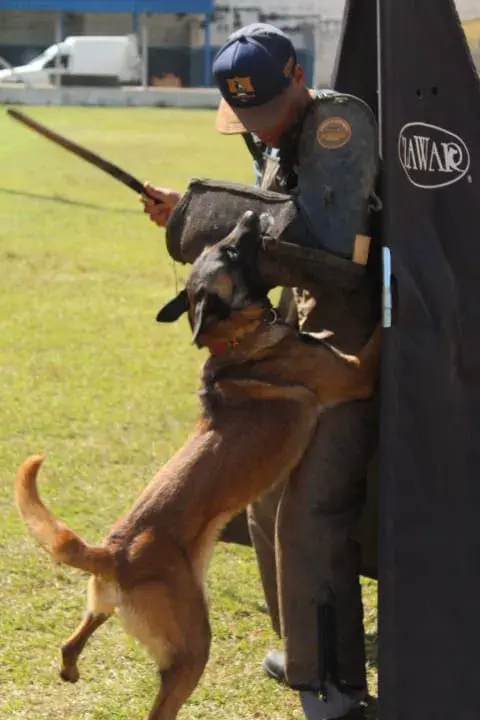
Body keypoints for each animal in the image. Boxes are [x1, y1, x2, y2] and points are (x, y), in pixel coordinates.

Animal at [15, 210, 380, 720]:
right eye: (230, 249)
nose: (249, 214)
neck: (236, 340)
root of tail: (114, 554)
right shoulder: (354, 372)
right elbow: (377, 340)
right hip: (192, 648)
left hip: (105, 607)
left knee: (72, 641)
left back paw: (69, 669)